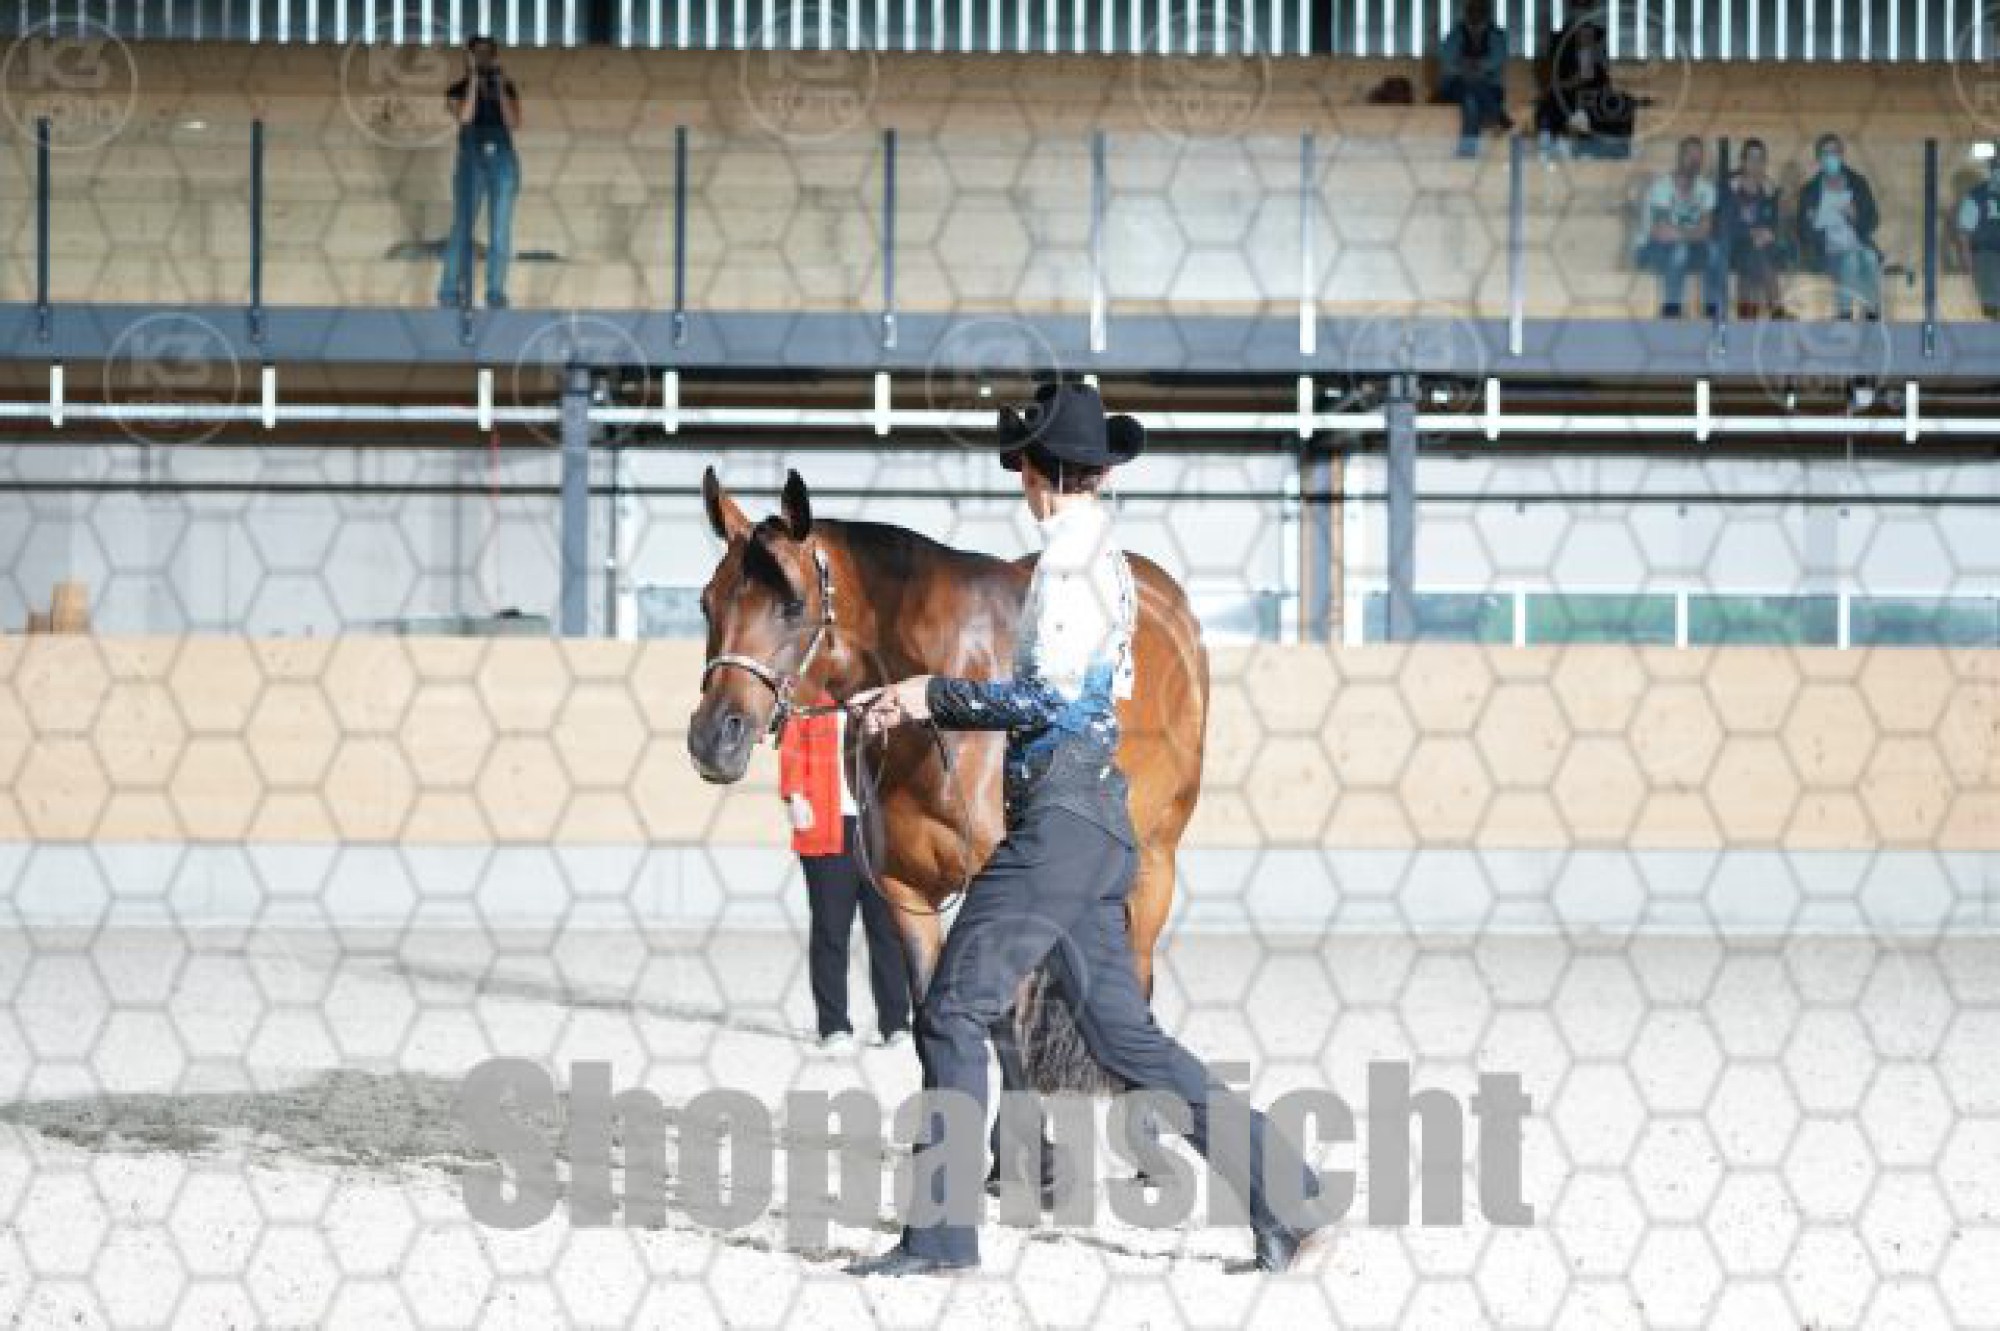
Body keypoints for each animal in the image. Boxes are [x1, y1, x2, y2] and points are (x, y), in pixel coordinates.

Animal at [686, 467, 1210, 1108]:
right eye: (707, 601)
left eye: (793, 603)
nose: (714, 738)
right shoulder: (906, 894)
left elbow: (1005, 1034)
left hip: (1155, 863)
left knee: (1137, 987)